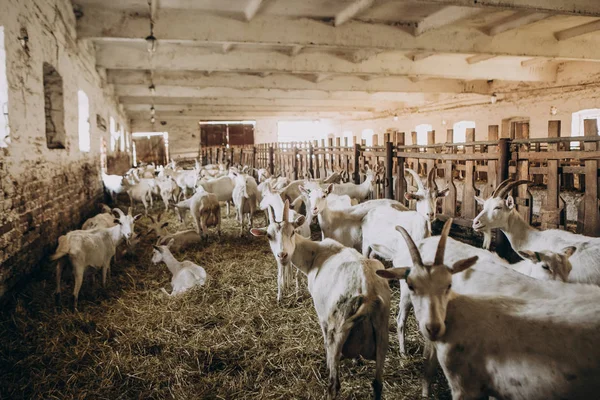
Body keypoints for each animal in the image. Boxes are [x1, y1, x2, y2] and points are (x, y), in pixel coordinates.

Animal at [251, 200, 392, 400]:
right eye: (269, 236)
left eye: (292, 232)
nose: (282, 255)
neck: (314, 254)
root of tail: (368, 295)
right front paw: (356, 360)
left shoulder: (323, 315)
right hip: (382, 334)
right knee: (378, 384)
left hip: (338, 328)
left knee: (334, 384)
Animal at [380, 219, 600, 400]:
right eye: (545, 266)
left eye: (569, 269)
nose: (564, 286)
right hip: (407, 295)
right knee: (401, 319)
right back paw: (404, 354)